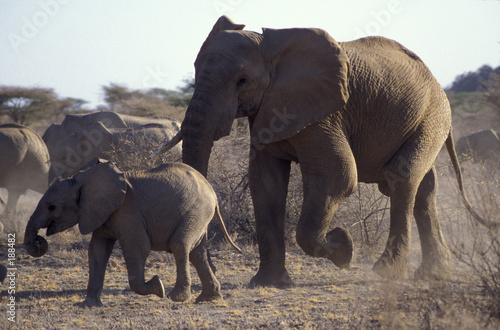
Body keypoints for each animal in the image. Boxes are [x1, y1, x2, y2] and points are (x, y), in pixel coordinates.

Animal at [23, 159, 240, 306]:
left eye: (52, 207)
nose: (39, 240)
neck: (80, 179)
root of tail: (212, 190)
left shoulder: (127, 210)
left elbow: (138, 247)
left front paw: (157, 286)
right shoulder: (101, 213)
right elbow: (97, 251)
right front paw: (88, 305)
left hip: (197, 209)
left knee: (180, 245)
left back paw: (176, 298)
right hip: (200, 213)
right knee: (197, 252)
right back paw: (208, 299)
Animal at [156, 16, 492, 288]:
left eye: (242, 81)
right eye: (195, 72)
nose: (213, 271)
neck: (272, 49)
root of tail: (435, 80)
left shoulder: (323, 114)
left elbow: (337, 177)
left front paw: (344, 248)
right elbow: (266, 183)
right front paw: (269, 283)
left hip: (432, 115)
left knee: (400, 177)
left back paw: (387, 272)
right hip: (424, 118)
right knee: (424, 188)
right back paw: (434, 275)